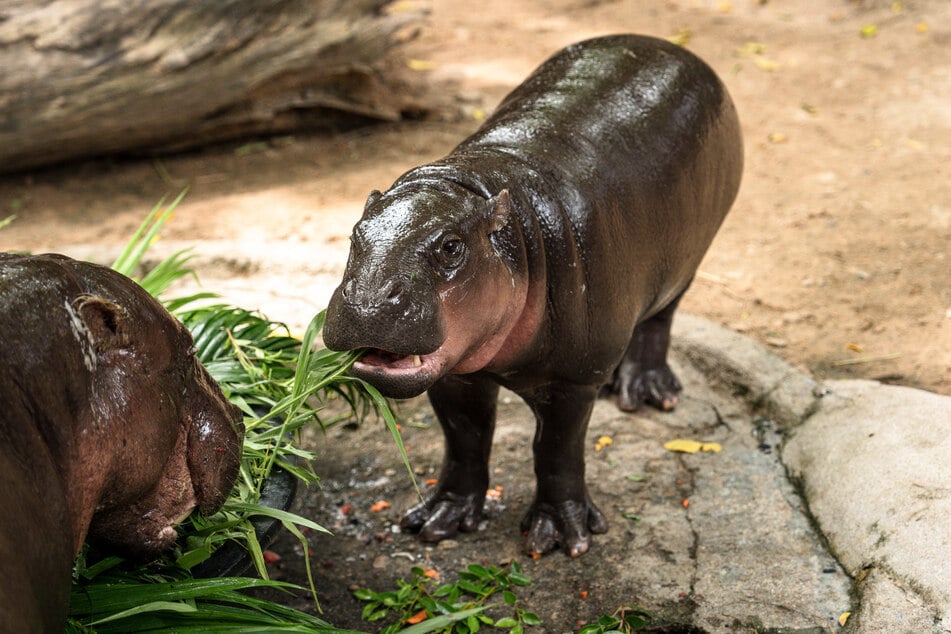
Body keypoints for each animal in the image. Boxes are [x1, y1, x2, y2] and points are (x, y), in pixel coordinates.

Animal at [324, 34, 743, 557]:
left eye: (451, 246)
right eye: (355, 234)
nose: (368, 299)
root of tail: (670, 45)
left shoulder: (572, 380)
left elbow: (556, 450)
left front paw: (562, 537)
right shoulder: (454, 374)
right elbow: (465, 439)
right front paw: (440, 519)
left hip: (686, 263)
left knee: (659, 321)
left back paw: (645, 393)